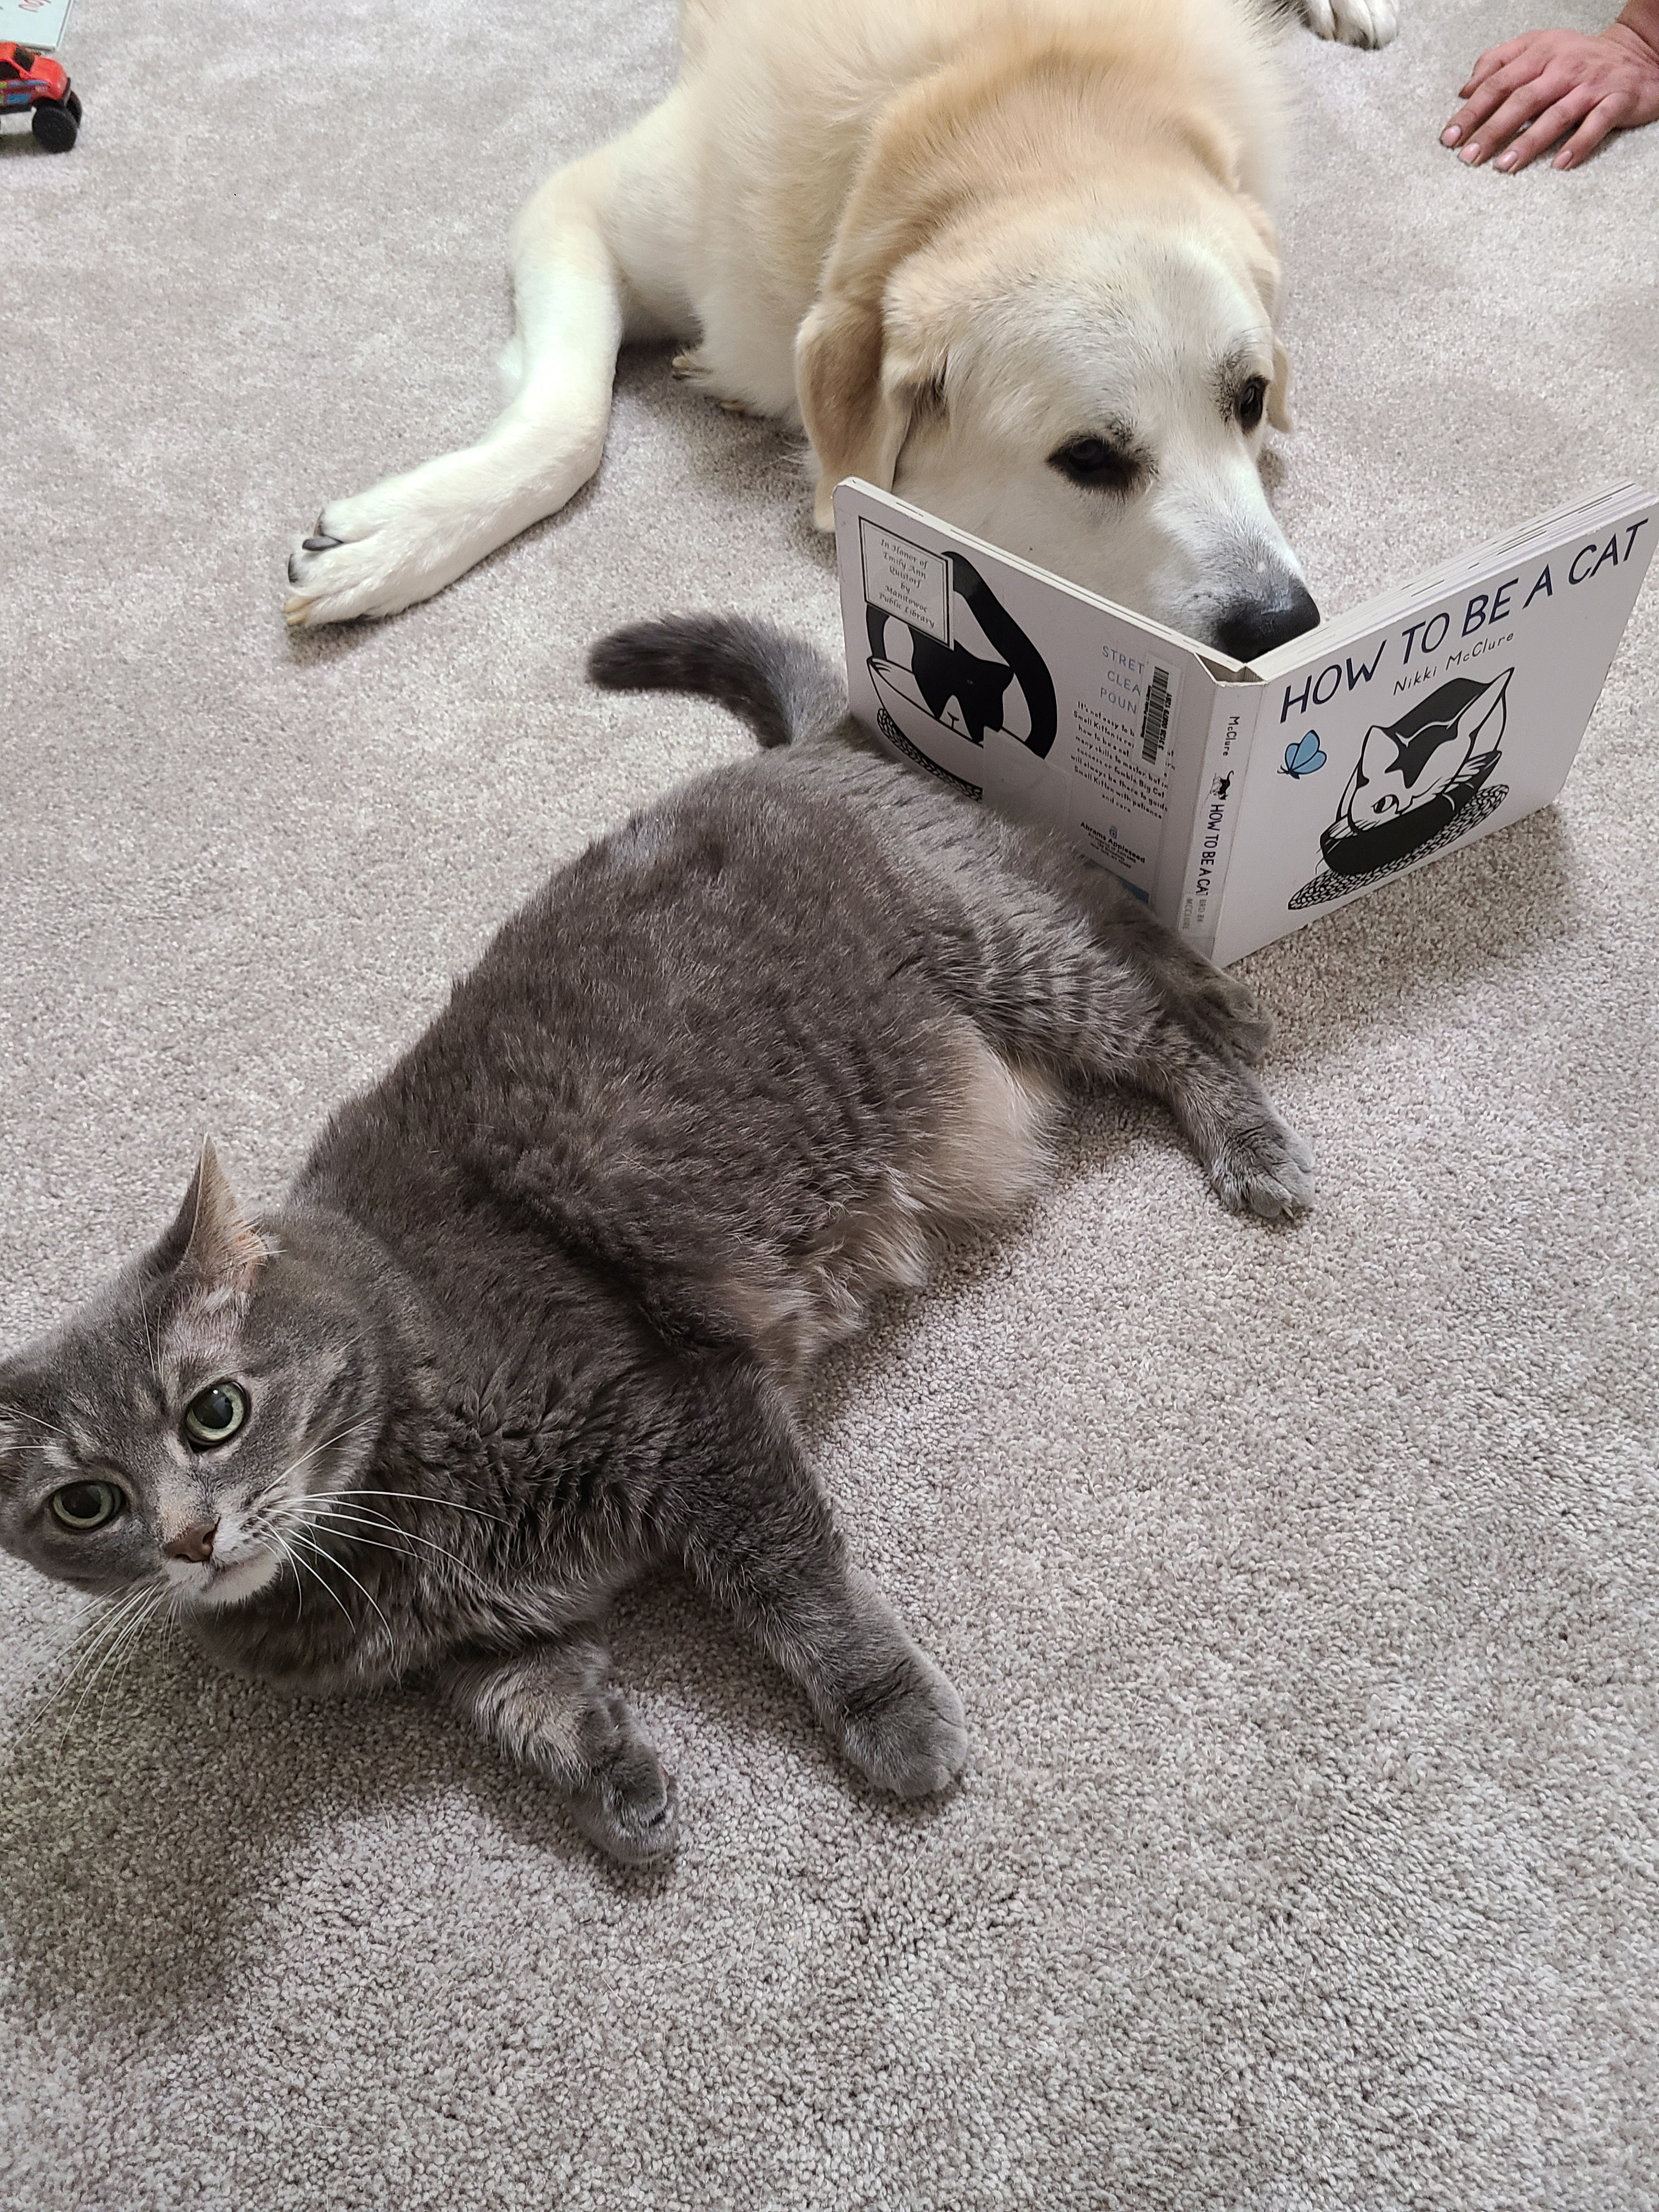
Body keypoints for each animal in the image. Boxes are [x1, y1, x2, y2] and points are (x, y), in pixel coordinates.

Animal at [0, 614, 1309, 1858]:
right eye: (84, 1506)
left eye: (213, 1411)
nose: (186, 1536)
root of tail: (795, 752)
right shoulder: (479, 1647)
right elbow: (534, 1713)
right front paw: (617, 1787)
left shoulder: (688, 1416)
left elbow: (793, 1582)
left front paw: (891, 1714)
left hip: (1005, 959)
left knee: (1137, 981)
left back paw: (1247, 1108)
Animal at [285, 0, 1407, 654]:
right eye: (1088, 458)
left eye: (1248, 400)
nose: (1283, 627)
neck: (1012, 94)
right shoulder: (580, 206)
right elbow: (566, 430)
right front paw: (399, 540)